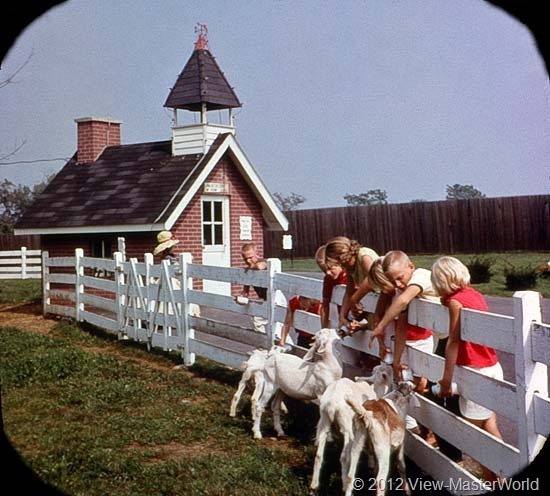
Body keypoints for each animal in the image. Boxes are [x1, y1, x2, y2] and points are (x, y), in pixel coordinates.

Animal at [310, 362, 396, 494]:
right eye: (386, 374)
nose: (389, 364)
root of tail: (332, 404)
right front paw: (371, 463)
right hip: (347, 428)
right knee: (343, 457)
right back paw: (345, 484)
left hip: (324, 421)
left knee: (319, 455)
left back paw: (314, 485)